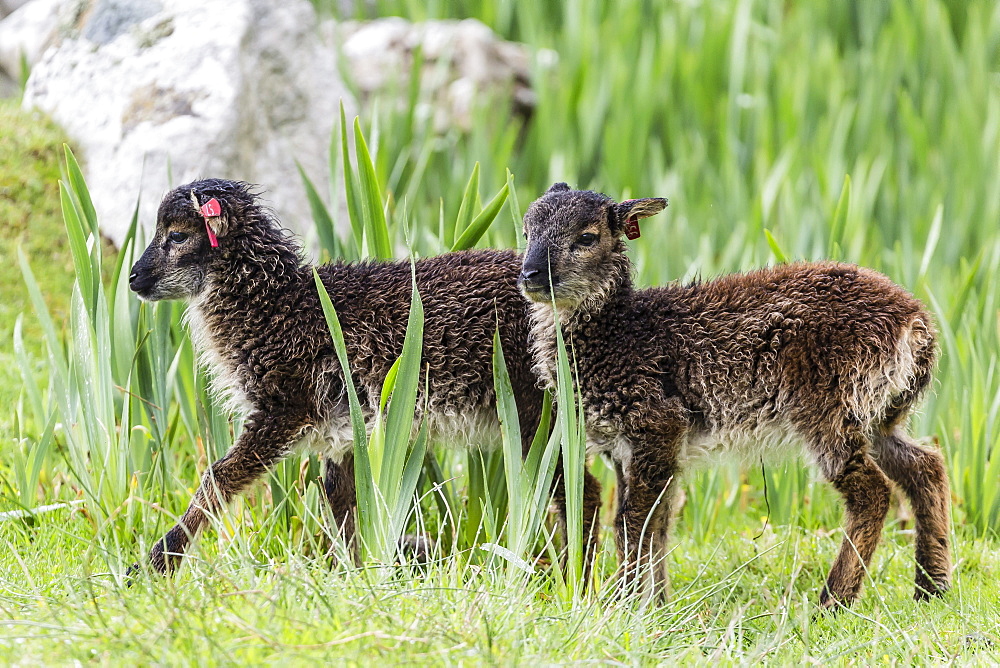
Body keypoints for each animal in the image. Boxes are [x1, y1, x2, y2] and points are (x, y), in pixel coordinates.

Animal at [127, 177, 600, 576]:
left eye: (176, 235)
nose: (133, 278)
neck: (277, 306)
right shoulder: (341, 428)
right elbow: (341, 503)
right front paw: (350, 576)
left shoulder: (284, 407)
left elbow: (218, 477)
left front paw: (156, 562)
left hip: (536, 411)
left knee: (582, 491)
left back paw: (580, 579)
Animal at [520, 183, 948, 612]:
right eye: (526, 233)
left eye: (587, 237)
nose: (530, 275)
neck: (620, 331)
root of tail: (915, 323)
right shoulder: (636, 450)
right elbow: (655, 524)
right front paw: (656, 607)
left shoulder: (657, 426)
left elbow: (632, 523)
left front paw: (626, 606)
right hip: (878, 412)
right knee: (925, 466)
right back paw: (931, 589)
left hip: (829, 408)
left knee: (872, 493)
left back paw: (832, 602)